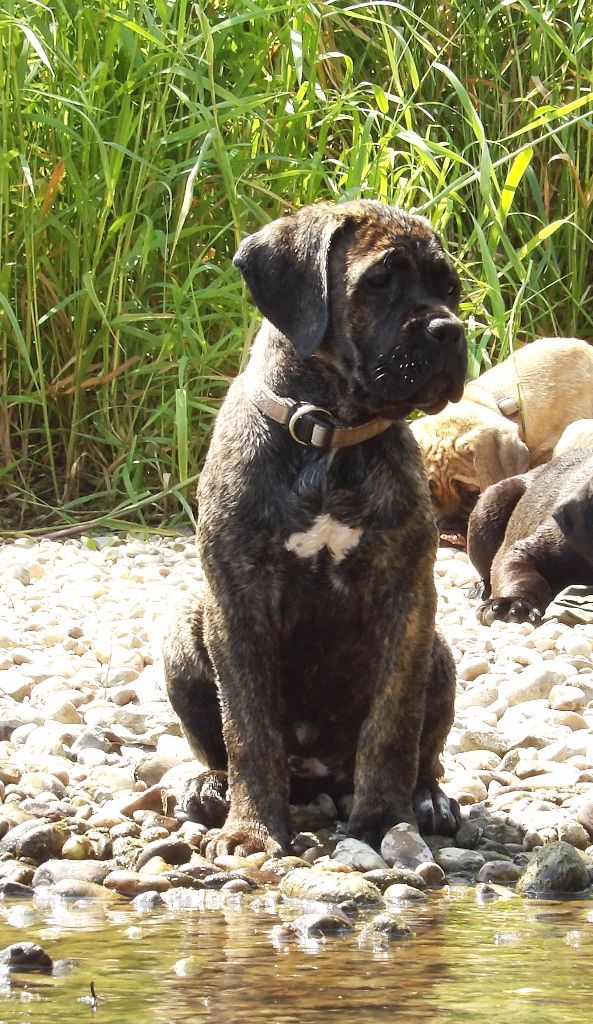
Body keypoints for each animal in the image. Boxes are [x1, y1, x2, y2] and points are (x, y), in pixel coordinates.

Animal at [163, 200, 467, 859]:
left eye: (449, 288)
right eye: (379, 281)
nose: (450, 330)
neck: (329, 434)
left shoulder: (407, 597)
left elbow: (392, 724)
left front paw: (384, 821)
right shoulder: (240, 600)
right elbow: (248, 728)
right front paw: (253, 830)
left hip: (438, 651)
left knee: (425, 752)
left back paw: (427, 798)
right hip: (182, 638)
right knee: (219, 747)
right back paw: (210, 788)